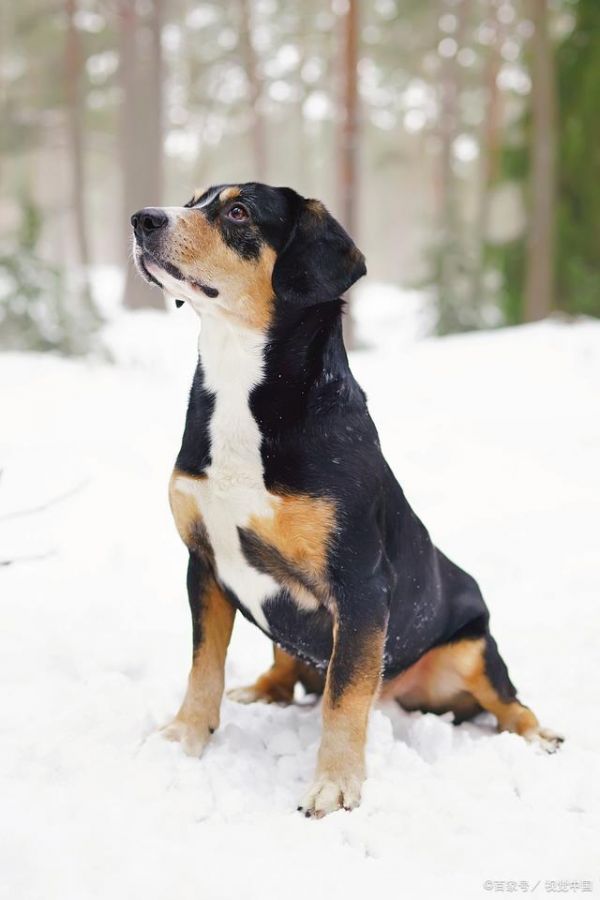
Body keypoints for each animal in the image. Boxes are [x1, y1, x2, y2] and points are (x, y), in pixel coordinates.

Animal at [131, 183, 562, 818]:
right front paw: (185, 736)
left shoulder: (358, 585)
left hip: (472, 648)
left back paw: (539, 736)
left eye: (238, 211)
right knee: (286, 666)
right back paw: (262, 691)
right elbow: (203, 668)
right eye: (192, 200)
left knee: (510, 702)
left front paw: (334, 785)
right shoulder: (204, 565)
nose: (142, 220)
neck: (242, 387)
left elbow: (344, 697)